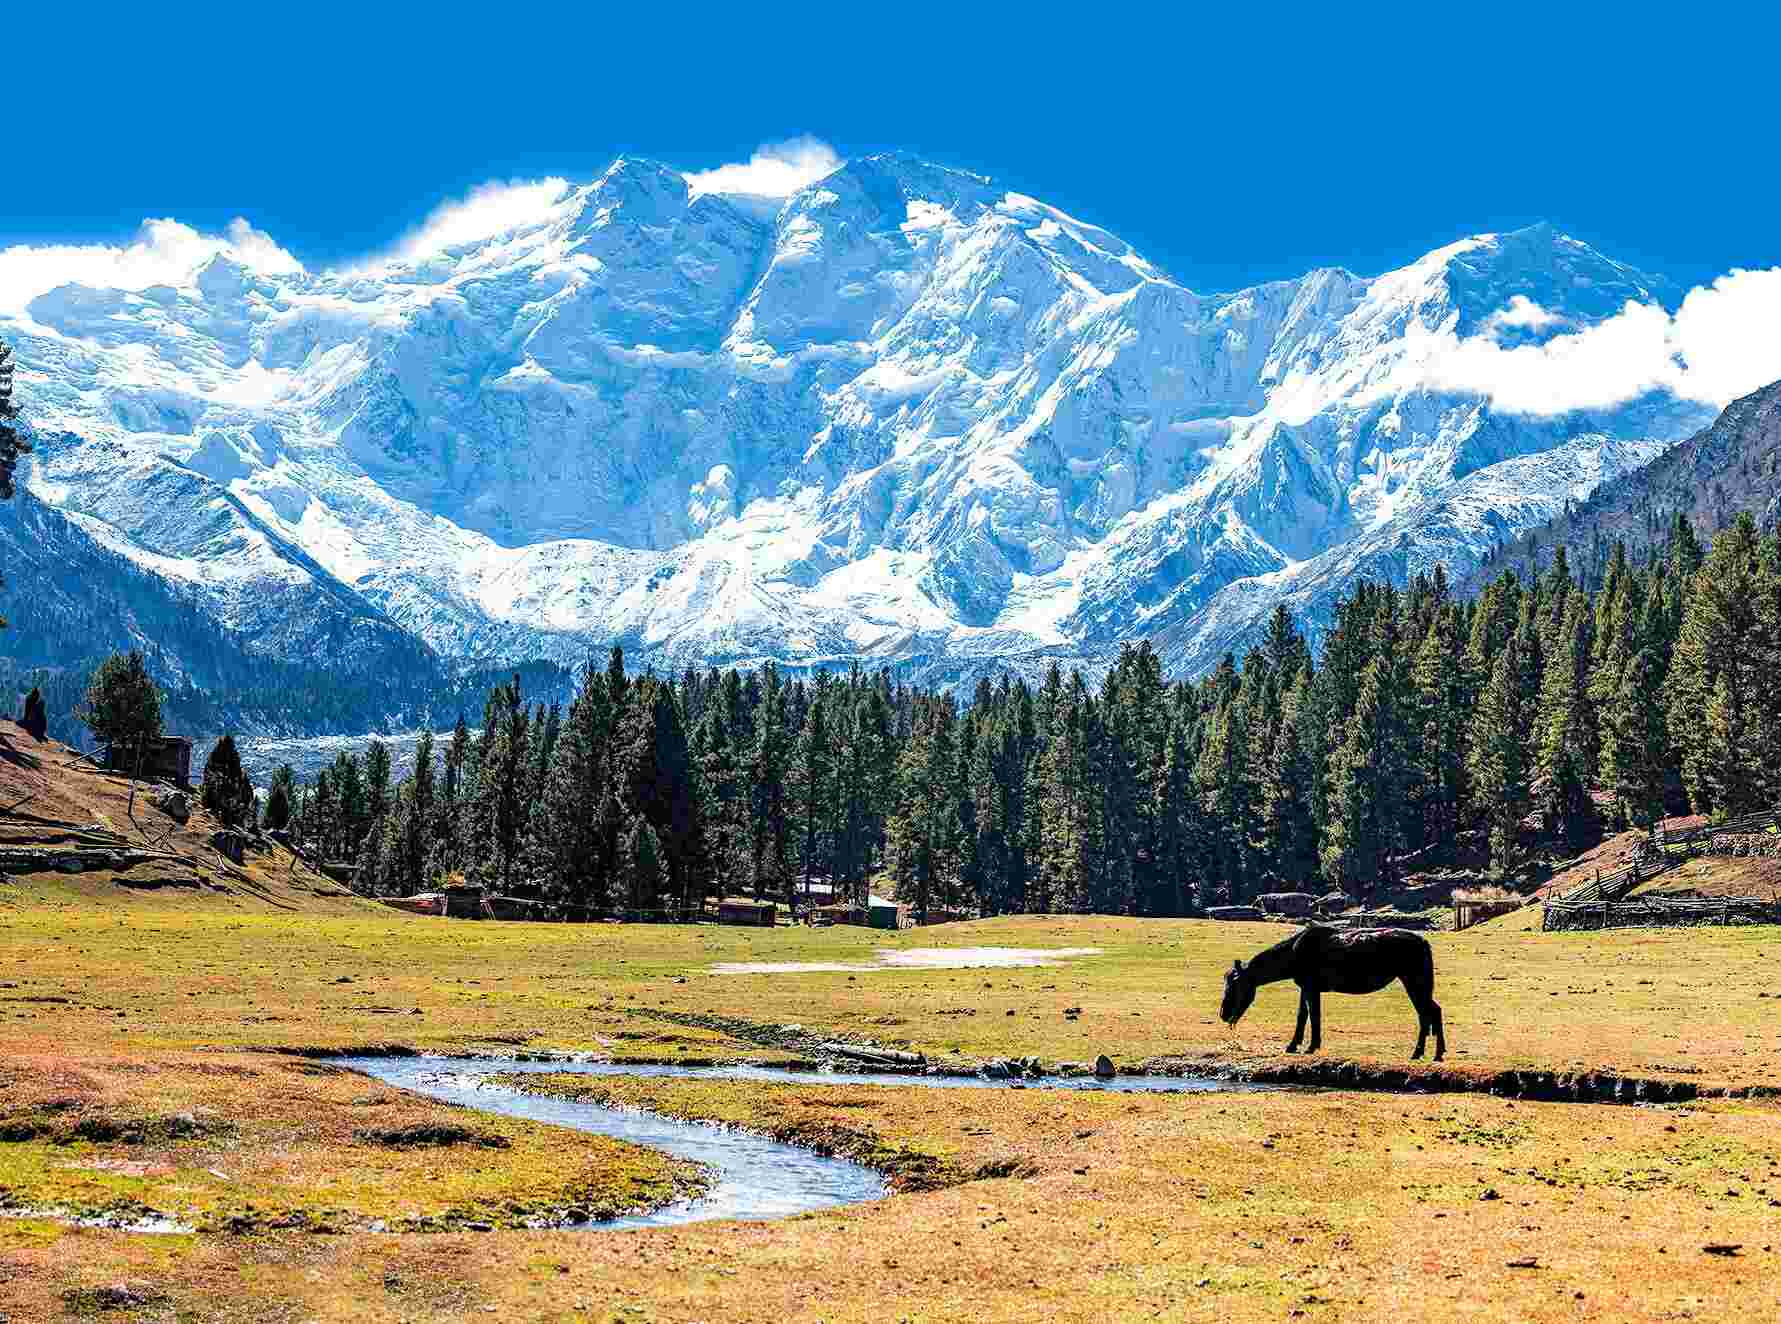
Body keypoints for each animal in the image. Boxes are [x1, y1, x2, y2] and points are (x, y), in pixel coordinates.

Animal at [1218, 926, 1439, 1062]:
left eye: (1235, 984)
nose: (1223, 1014)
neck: (1293, 953)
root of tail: (1423, 941)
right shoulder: (1305, 988)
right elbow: (1302, 1016)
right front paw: (1293, 1045)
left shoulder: (1311, 988)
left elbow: (1314, 1016)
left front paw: (1311, 1046)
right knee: (1434, 1011)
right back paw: (1437, 1053)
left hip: (1414, 982)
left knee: (1426, 1013)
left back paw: (1420, 1053)